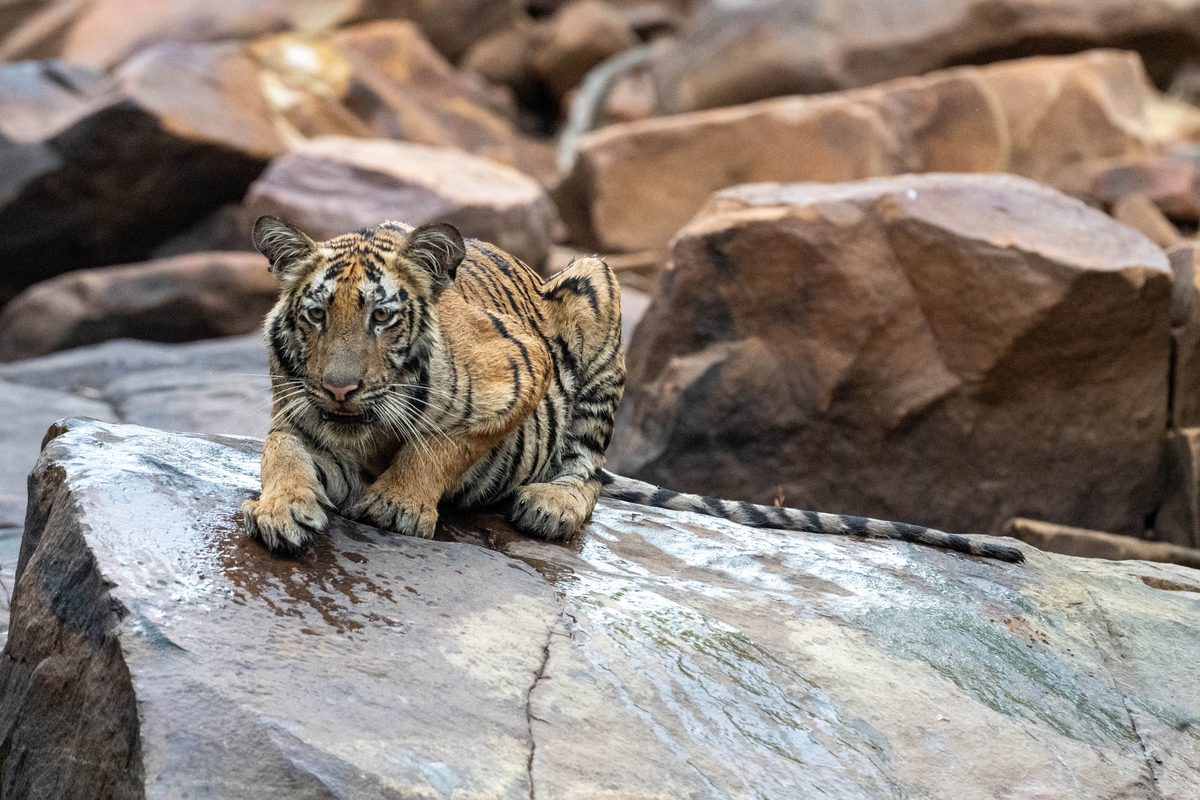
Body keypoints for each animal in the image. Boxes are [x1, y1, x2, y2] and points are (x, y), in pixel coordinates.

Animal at [242, 216, 1024, 564]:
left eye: (383, 316)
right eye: (316, 315)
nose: (341, 388)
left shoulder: (519, 373)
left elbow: (442, 441)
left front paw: (400, 503)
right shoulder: (301, 418)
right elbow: (282, 452)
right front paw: (281, 510)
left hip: (598, 288)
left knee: (588, 472)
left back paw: (551, 505)